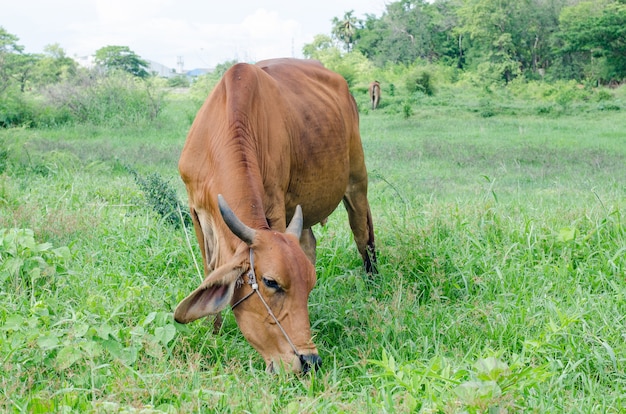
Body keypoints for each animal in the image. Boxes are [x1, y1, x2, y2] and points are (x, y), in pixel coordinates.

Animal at [172, 59, 376, 376]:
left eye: (310, 285)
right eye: (271, 282)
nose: (309, 361)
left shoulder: (276, 206)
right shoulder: (196, 212)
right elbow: (210, 270)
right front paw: (214, 332)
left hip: (356, 180)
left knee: (363, 234)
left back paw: (373, 284)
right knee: (310, 242)